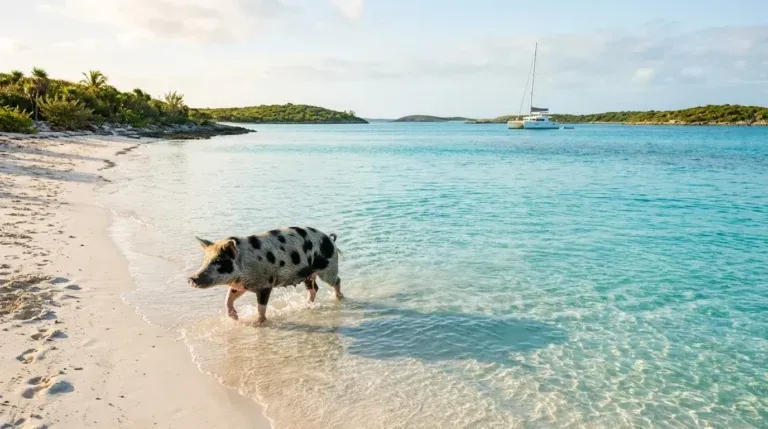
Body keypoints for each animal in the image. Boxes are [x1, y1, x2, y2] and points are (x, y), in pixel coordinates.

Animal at [188, 226, 343, 323]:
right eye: (205, 261)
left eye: (217, 261)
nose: (191, 278)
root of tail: (330, 240)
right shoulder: (241, 285)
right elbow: (228, 298)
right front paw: (235, 318)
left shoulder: (265, 284)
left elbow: (261, 306)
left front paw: (258, 322)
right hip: (307, 274)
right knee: (314, 288)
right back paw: (306, 305)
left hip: (328, 268)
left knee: (337, 280)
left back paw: (339, 297)